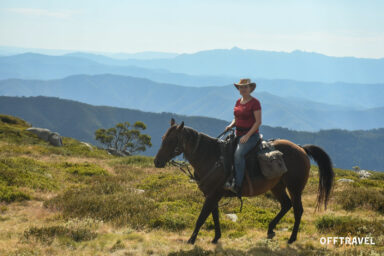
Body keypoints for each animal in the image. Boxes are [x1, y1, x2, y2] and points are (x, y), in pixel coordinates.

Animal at [154, 119, 334, 245]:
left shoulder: (213, 195)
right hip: (277, 186)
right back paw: (270, 230)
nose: (157, 162)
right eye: (162, 138)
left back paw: (291, 238)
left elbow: (202, 217)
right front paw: (216, 237)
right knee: (286, 205)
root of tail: (301, 148)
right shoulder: (213, 194)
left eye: (171, 140)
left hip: (295, 188)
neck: (210, 157)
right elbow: (214, 215)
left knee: (297, 210)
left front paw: (191, 240)